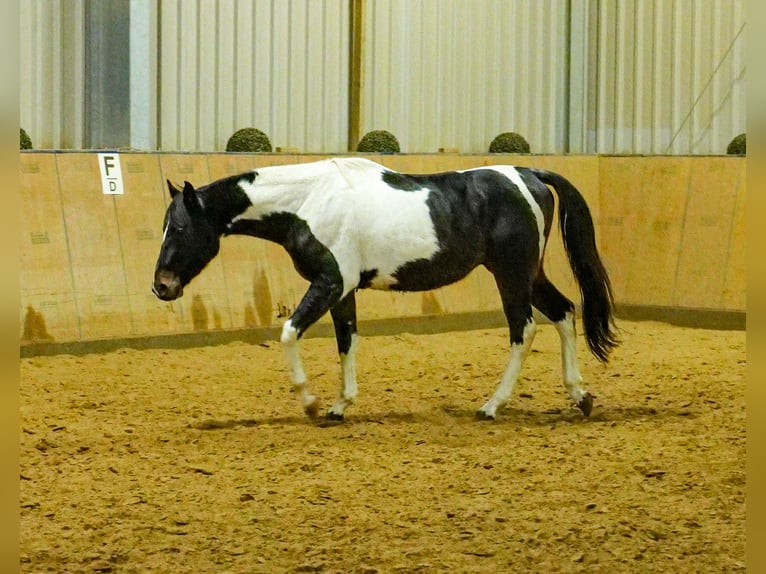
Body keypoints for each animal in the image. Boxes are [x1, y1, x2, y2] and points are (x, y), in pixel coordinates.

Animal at [153, 158, 620, 424]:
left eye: (179, 228)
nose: (160, 286)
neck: (308, 200)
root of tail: (528, 174)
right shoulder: (343, 290)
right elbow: (347, 342)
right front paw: (340, 405)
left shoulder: (329, 282)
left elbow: (288, 333)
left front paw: (309, 402)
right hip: (528, 274)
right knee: (564, 312)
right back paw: (580, 397)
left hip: (511, 274)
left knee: (524, 330)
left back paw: (492, 406)